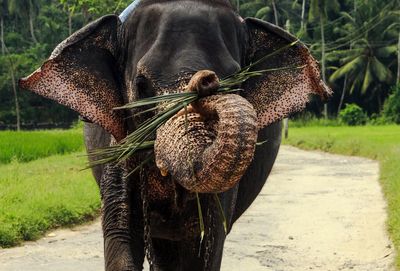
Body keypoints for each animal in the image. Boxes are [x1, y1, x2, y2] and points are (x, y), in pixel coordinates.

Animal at [19, 1, 332, 270]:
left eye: (236, 79)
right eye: (141, 85)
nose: (206, 80)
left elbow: (205, 242)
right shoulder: (120, 144)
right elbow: (122, 232)